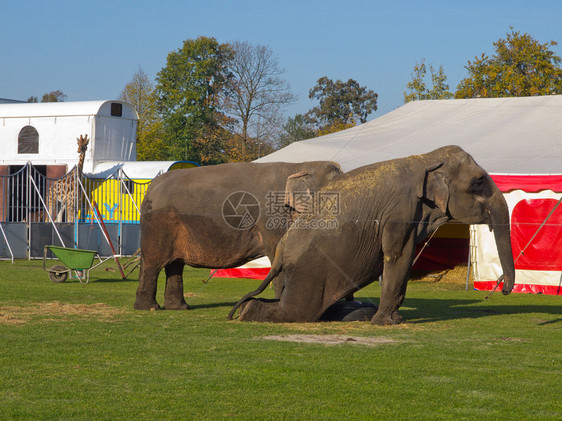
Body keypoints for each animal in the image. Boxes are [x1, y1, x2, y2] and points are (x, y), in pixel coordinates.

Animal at [135, 160, 342, 308]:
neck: (301, 165)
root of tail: (151, 185)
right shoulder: (272, 216)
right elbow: (279, 254)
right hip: (158, 224)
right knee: (153, 263)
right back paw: (149, 307)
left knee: (175, 265)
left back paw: (179, 307)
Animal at [228, 145, 512, 324]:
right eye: (478, 182)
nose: (502, 289)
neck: (425, 158)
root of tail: (281, 253)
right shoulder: (399, 211)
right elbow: (399, 255)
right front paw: (389, 322)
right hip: (307, 273)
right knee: (297, 311)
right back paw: (247, 312)